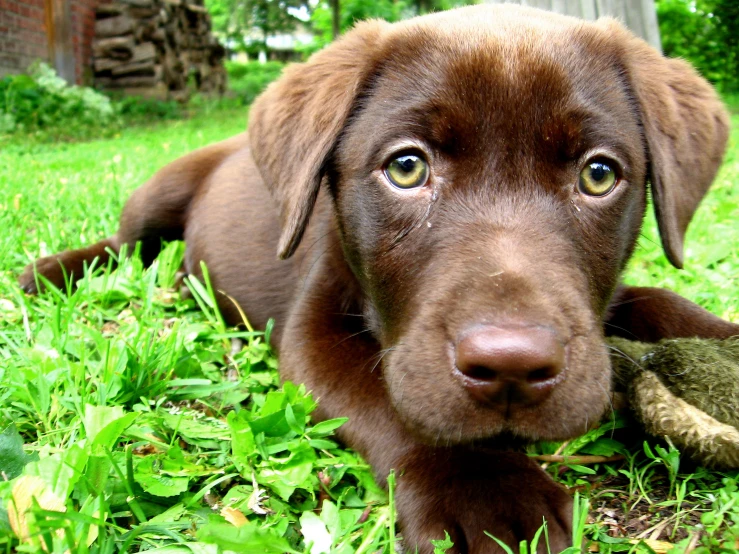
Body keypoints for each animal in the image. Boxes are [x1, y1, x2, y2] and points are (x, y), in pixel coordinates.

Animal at [17, 5, 739, 552]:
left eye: (598, 174)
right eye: (406, 168)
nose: (510, 366)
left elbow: (656, 297)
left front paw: (719, 334)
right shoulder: (311, 334)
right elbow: (387, 399)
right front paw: (486, 491)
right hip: (160, 192)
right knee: (123, 245)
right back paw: (47, 273)